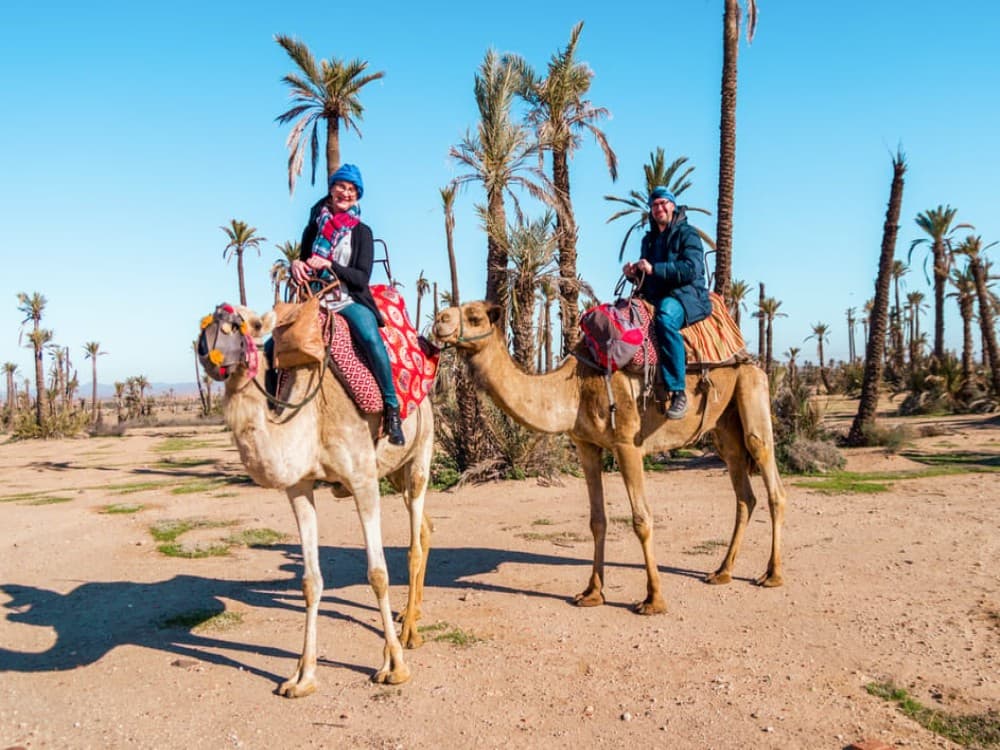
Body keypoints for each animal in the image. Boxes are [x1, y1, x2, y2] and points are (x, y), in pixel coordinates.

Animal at [197, 303, 434, 698]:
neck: (312, 415)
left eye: (250, 324)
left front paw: (394, 667)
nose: (208, 350)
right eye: (206, 323)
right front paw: (302, 677)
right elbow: (310, 581)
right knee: (427, 528)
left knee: (414, 541)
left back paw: (409, 634)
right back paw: (408, 617)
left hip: (420, 452)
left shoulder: (363, 479)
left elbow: (378, 574)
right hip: (394, 472)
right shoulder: (299, 486)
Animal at [432, 301, 786, 614]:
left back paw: (772, 575)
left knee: (769, 474)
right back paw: (721, 572)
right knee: (744, 492)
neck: (573, 388)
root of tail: (747, 356)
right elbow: (597, 520)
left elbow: (642, 519)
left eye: (475, 316)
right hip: (724, 426)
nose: (439, 320)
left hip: (752, 391)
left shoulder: (627, 443)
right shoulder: (586, 445)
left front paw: (653, 600)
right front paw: (591, 593)